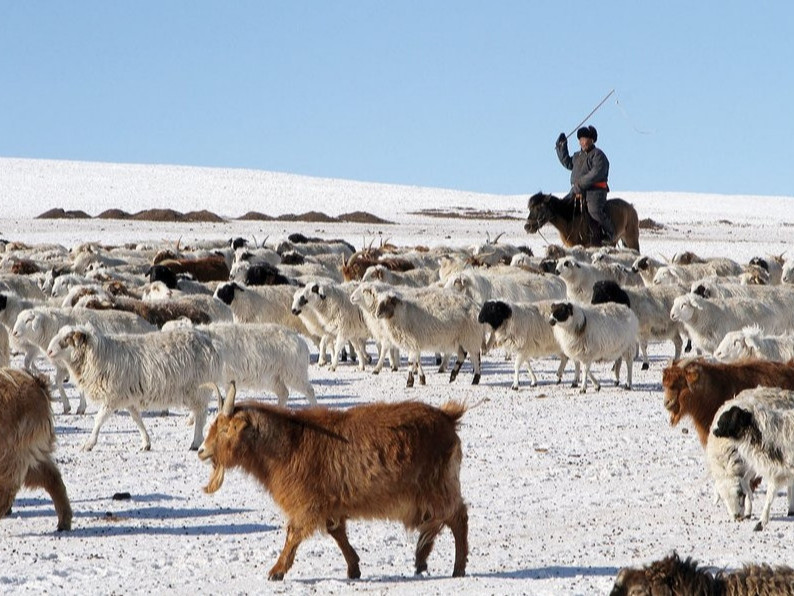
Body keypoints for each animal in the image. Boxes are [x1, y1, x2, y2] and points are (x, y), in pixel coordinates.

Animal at [45, 326, 221, 452]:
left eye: (67, 339)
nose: (49, 351)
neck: (99, 354)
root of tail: (208, 342)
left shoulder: (113, 396)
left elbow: (99, 419)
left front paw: (89, 444)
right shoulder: (128, 397)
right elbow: (137, 419)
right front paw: (146, 443)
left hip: (197, 389)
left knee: (201, 415)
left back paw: (196, 442)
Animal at [198, 382, 468, 584]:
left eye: (225, 430)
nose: (201, 450)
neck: (289, 444)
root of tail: (447, 417)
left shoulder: (308, 502)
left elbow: (294, 533)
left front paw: (276, 571)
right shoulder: (330, 503)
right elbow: (336, 532)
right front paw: (354, 568)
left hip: (438, 486)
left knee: (457, 517)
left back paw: (457, 567)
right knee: (435, 521)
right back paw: (422, 558)